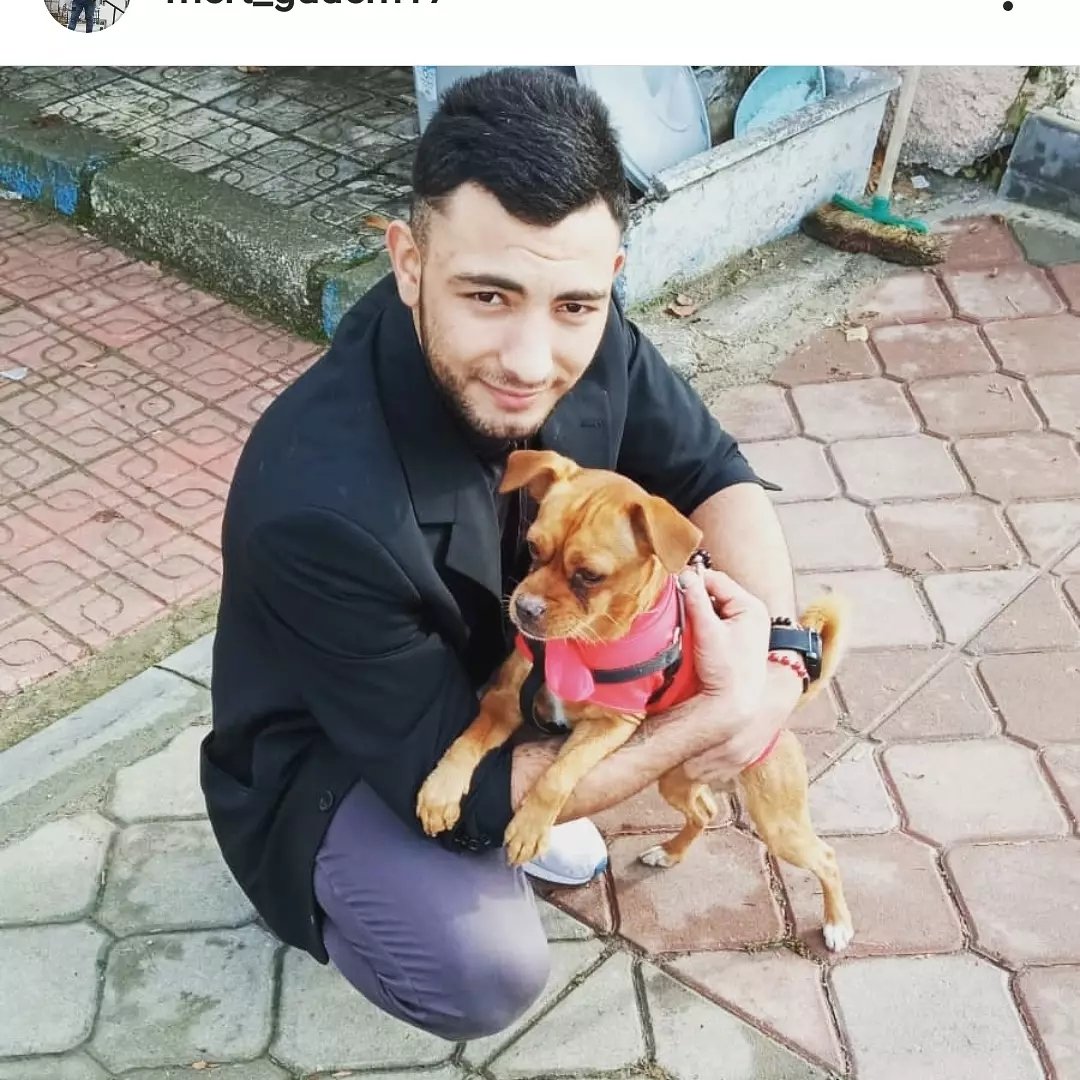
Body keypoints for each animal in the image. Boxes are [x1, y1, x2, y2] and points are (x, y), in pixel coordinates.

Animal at [416, 448, 854, 951]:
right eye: (532, 549)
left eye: (590, 576)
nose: (524, 610)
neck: (581, 644)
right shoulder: (506, 700)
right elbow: (468, 740)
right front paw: (441, 791)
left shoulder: (610, 726)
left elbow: (556, 776)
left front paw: (529, 826)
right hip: (676, 779)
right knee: (706, 810)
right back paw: (670, 852)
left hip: (778, 823)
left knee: (825, 856)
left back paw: (838, 923)